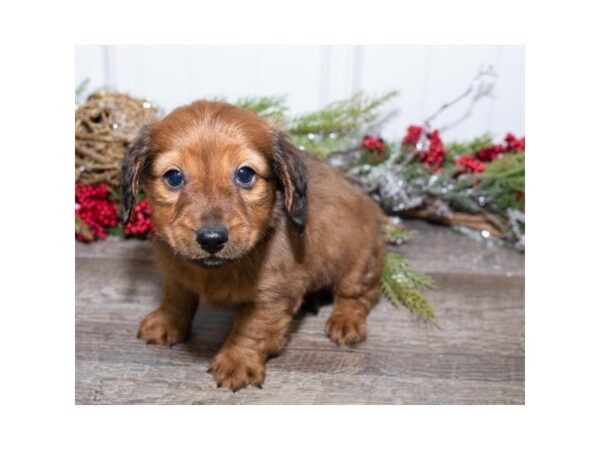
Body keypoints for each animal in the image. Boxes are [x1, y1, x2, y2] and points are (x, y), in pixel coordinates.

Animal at [120, 101, 386, 390]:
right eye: (173, 177)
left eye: (245, 174)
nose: (212, 239)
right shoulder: (176, 272)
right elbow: (176, 297)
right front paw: (167, 322)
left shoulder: (272, 295)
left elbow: (252, 329)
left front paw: (237, 362)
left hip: (357, 262)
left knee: (361, 294)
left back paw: (346, 320)